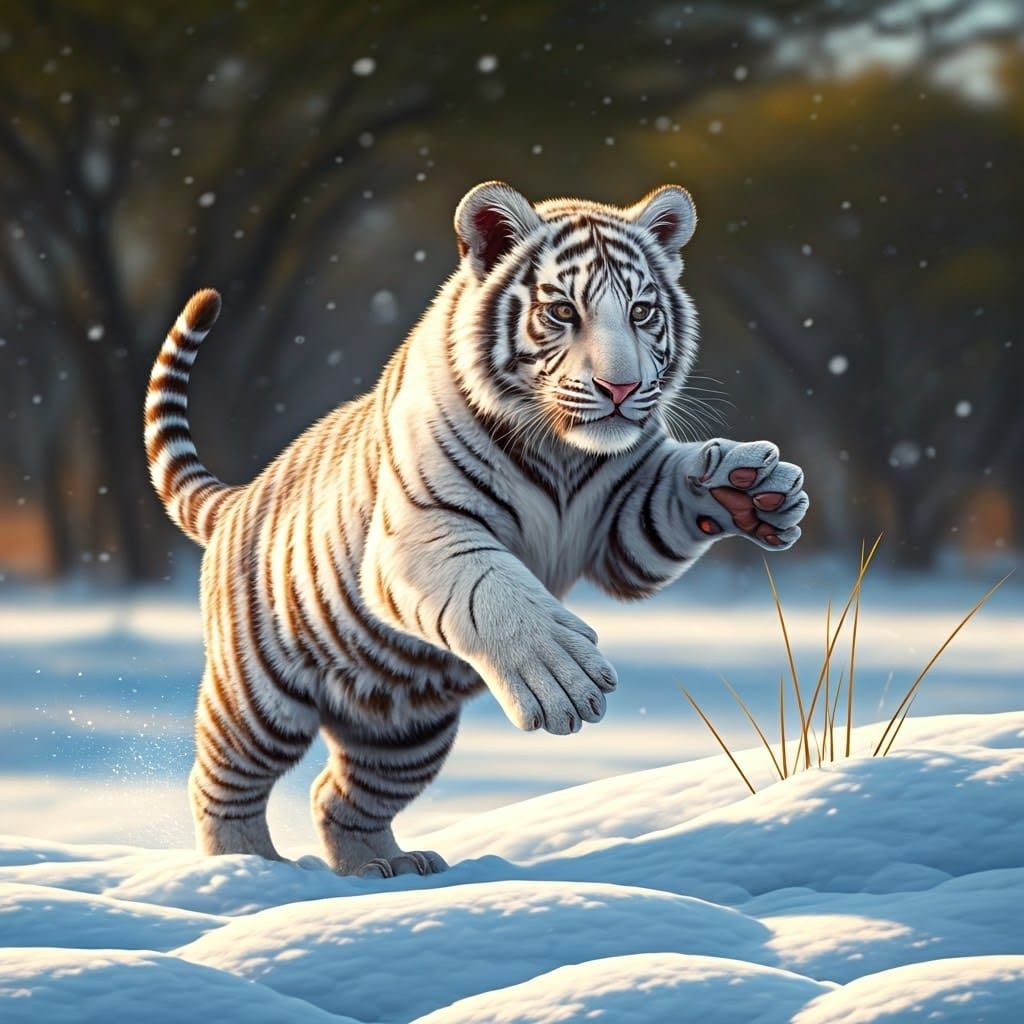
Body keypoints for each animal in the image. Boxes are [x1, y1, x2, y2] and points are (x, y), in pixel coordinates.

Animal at [144, 181, 809, 878]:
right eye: (563, 311)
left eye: (643, 312)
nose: (622, 388)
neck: (564, 451)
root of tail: (236, 500)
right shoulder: (424, 532)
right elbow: (493, 588)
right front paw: (562, 678)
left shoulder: (627, 526)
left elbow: (671, 496)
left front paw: (753, 488)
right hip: (258, 699)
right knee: (224, 783)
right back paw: (245, 870)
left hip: (408, 732)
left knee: (339, 794)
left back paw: (385, 868)